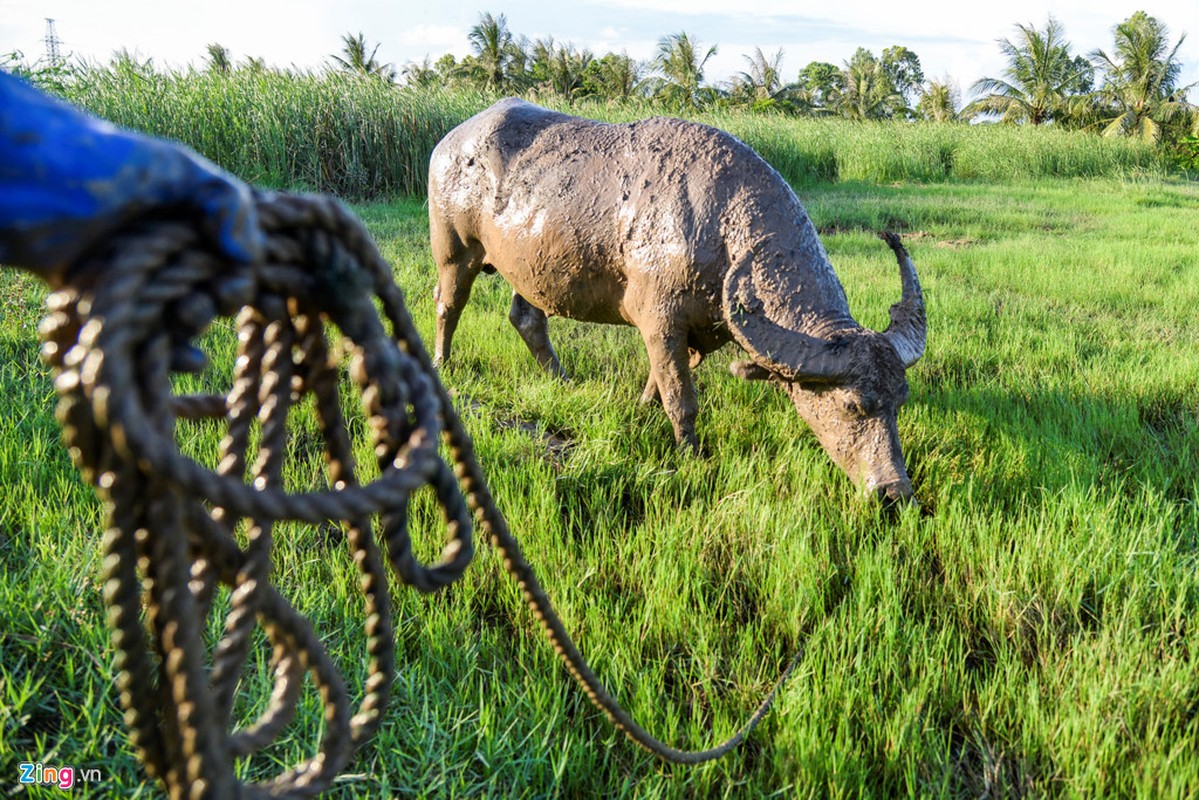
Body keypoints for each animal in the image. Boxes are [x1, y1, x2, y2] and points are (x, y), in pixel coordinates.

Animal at [431, 98, 925, 501]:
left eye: (899, 401)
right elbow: (680, 396)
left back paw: (561, 379)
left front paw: (643, 407)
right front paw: (690, 454)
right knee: (447, 305)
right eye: (852, 406)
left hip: (529, 266)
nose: (894, 492)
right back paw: (442, 363)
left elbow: (660, 378)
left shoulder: (690, 332)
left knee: (527, 318)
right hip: (455, 252)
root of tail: (451, 141)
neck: (722, 229)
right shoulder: (661, 322)